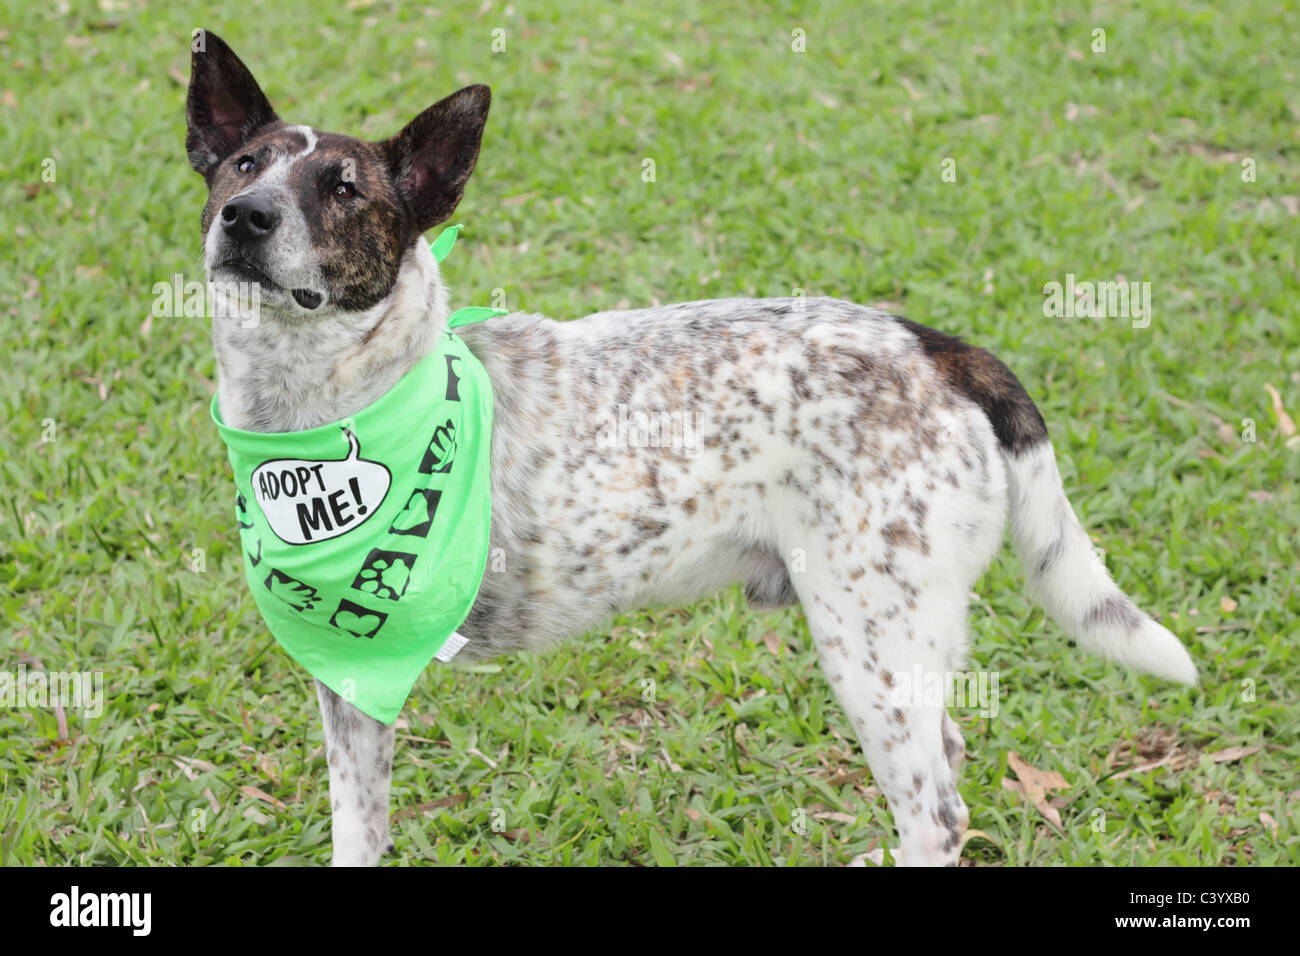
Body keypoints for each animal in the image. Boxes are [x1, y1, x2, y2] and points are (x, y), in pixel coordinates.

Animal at [185, 29, 1196, 868]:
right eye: (243, 165)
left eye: (343, 189)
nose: (246, 216)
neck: (335, 396)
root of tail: (933, 346)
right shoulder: (347, 684)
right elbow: (358, 828)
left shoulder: (361, 663)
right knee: (944, 763)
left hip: (871, 640)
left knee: (936, 811)